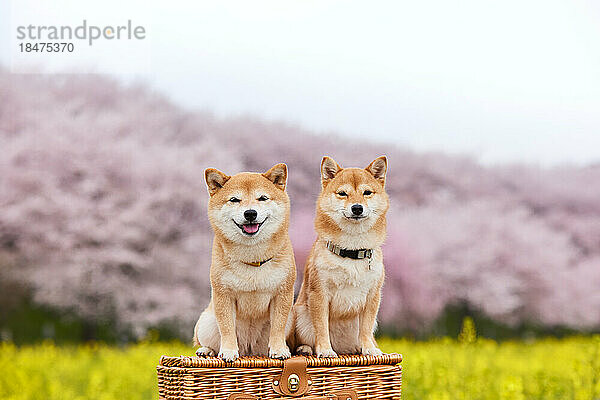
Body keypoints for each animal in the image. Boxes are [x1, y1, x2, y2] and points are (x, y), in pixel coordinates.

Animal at [192, 164, 296, 360]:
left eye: (262, 198)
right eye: (234, 200)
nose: (250, 213)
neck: (252, 258)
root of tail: (249, 351)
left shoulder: (283, 293)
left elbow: (278, 327)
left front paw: (279, 350)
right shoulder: (223, 294)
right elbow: (226, 327)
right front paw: (228, 352)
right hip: (206, 323)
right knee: (206, 340)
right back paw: (206, 351)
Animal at [290, 155, 392, 356]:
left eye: (367, 193)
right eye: (343, 193)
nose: (357, 208)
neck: (351, 251)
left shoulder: (373, 296)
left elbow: (366, 328)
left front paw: (369, 349)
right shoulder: (319, 294)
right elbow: (321, 327)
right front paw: (325, 350)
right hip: (299, 314)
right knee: (301, 341)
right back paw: (306, 349)